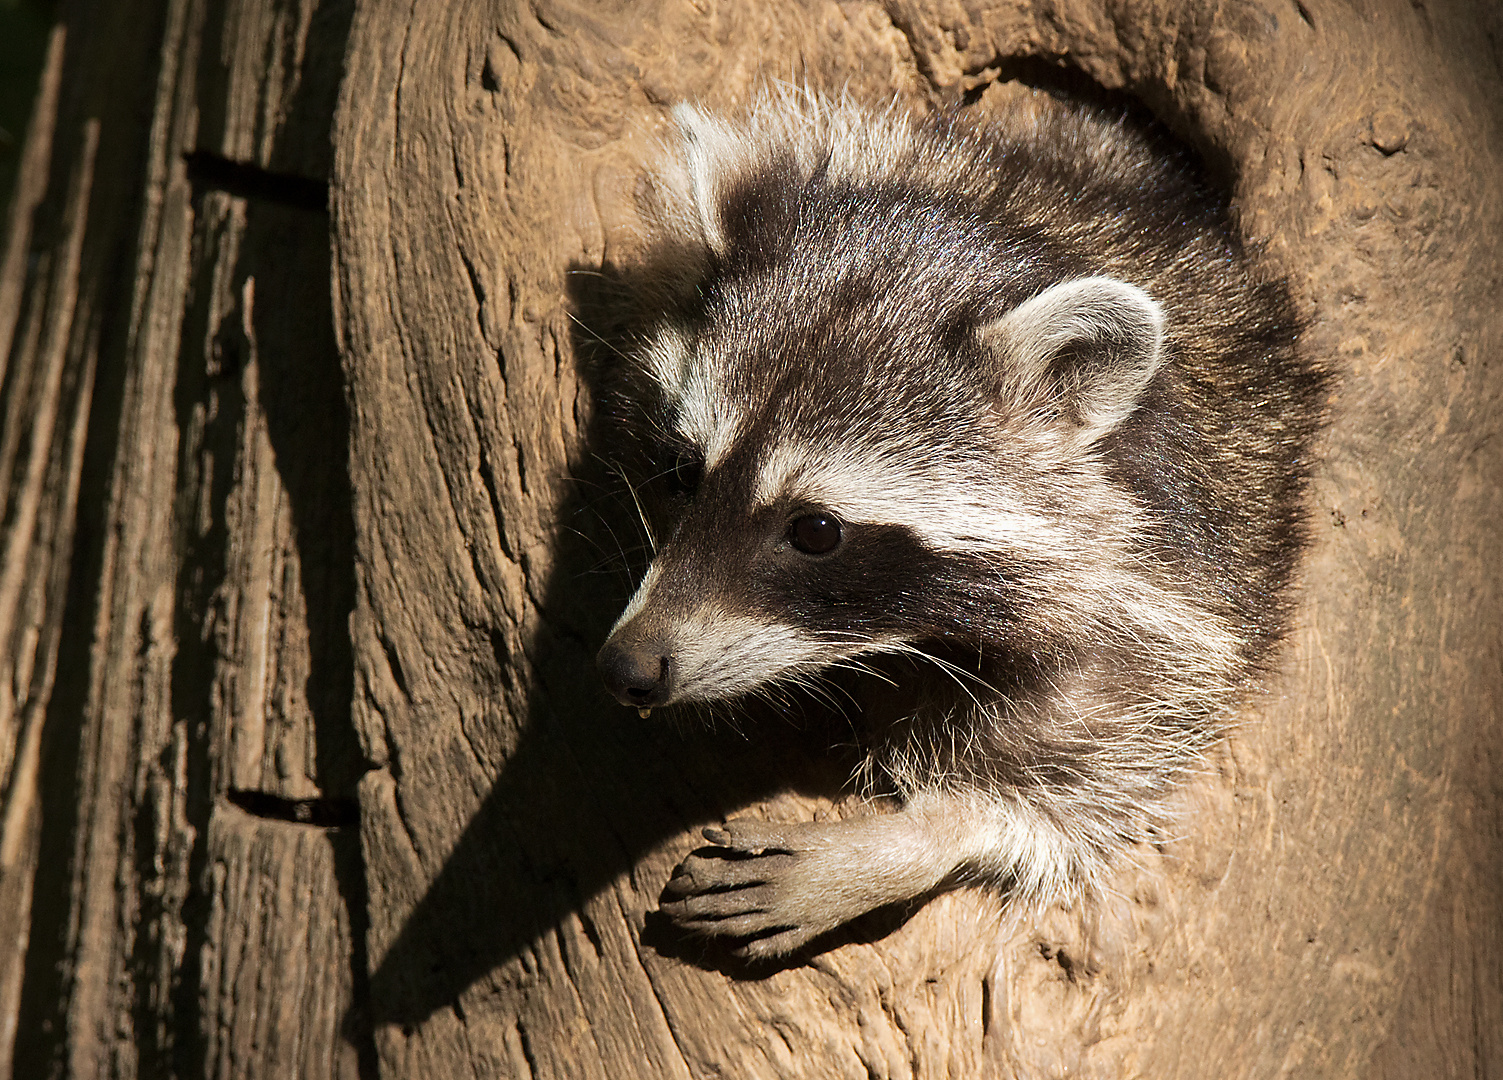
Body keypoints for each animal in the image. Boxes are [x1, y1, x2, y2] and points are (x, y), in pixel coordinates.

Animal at [586, 88, 1328, 961]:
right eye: (679, 470)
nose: (628, 667)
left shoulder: (1193, 566)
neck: (1029, 220)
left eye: (815, 532)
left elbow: (1109, 751)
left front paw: (912, 841)